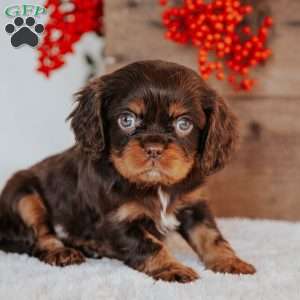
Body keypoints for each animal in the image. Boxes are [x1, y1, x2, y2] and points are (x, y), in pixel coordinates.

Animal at [0, 59, 255, 282]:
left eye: (184, 124)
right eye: (127, 120)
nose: (154, 148)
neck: (156, 186)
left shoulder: (194, 206)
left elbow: (211, 236)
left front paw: (230, 261)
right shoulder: (117, 222)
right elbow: (150, 245)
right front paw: (172, 268)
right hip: (23, 194)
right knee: (41, 236)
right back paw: (61, 252)